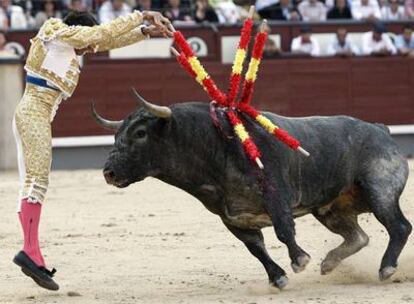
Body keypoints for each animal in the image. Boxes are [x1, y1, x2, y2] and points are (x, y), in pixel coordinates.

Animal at [92, 89, 412, 288]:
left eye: (140, 133)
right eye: (117, 135)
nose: (109, 172)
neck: (214, 148)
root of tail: (380, 128)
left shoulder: (276, 196)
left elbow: (283, 231)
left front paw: (300, 261)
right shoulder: (232, 217)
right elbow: (255, 248)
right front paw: (278, 278)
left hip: (379, 191)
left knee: (399, 226)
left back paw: (386, 268)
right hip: (331, 209)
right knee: (358, 236)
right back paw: (329, 264)